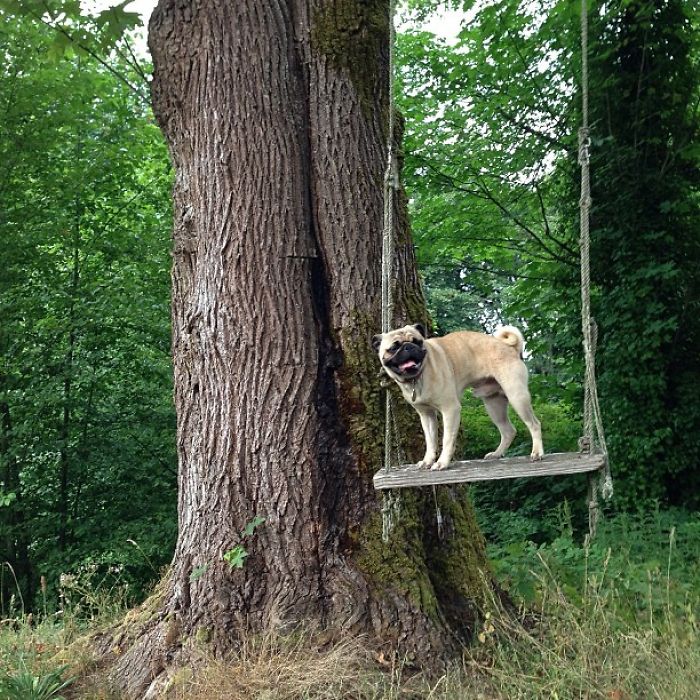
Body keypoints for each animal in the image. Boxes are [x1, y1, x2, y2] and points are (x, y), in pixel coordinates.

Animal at [372, 324, 540, 470]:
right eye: (394, 347)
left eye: (418, 342)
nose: (409, 347)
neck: (416, 379)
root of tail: (510, 348)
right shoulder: (427, 415)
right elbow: (430, 441)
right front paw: (427, 461)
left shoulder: (450, 409)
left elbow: (447, 439)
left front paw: (442, 462)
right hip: (494, 405)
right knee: (508, 431)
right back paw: (497, 454)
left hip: (516, 396)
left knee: (534, 424)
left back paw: (537, 453)